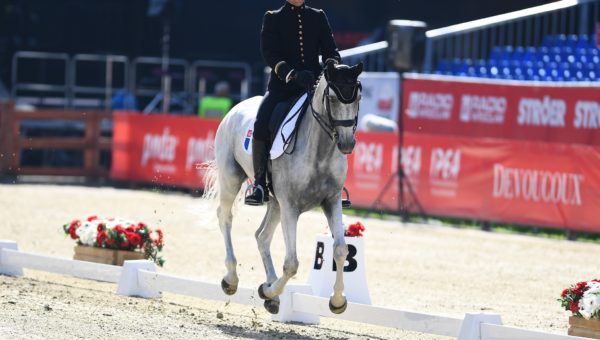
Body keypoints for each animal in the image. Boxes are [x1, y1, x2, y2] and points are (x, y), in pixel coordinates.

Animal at [209, 62, 364, 314]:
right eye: (332, 98)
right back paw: (232, 279)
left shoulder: (331, 201)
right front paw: (268, 291)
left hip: (275, 202)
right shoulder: (291, 206)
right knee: (225, 217)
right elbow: (291, 263)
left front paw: (337, 301)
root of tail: (236, 108)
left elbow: (341, 250)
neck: (319, 150)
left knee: (262, 236)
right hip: (231, 179)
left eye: (358, 97)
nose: (347, 143)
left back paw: (271, 293)